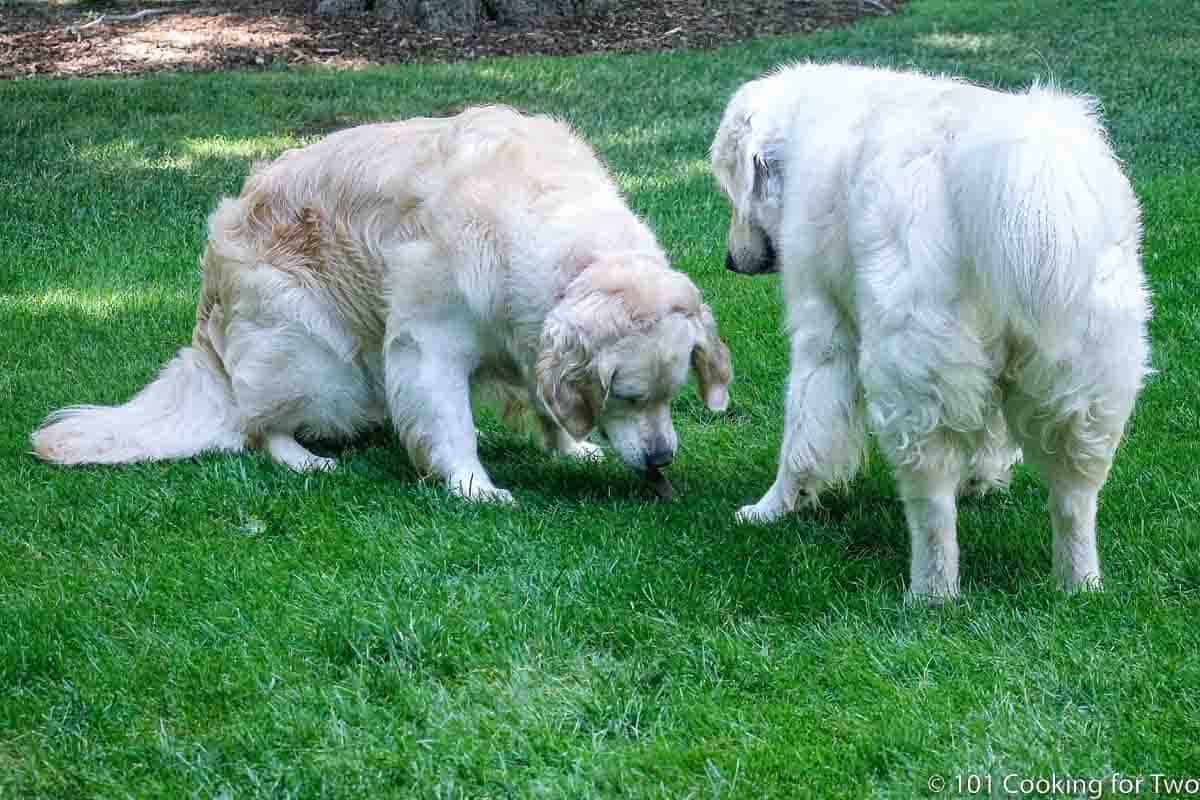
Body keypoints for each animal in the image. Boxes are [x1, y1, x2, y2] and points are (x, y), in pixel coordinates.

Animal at [35, 106, 729, 501]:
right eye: (627, 397)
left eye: (673, 396)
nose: (662, 458)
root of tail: (208, 318)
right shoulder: (428, 342)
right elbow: (450, 424)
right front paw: (474, 488)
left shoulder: (527, 333)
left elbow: (544, 394)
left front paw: (567, 444)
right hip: (319, 361)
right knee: (260, 427)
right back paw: (305, 461)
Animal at [710, 62, 1152, 597]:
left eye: (731, 190)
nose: (730, 261)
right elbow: (991, 433)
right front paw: (983, 481)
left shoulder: (823, 328)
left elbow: (803, 434)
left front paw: (771, 508)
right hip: (1082, 384)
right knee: (1074, 500)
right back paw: (1079, 585)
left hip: (912, 378)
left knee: (933, 509)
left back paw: (930, 594)